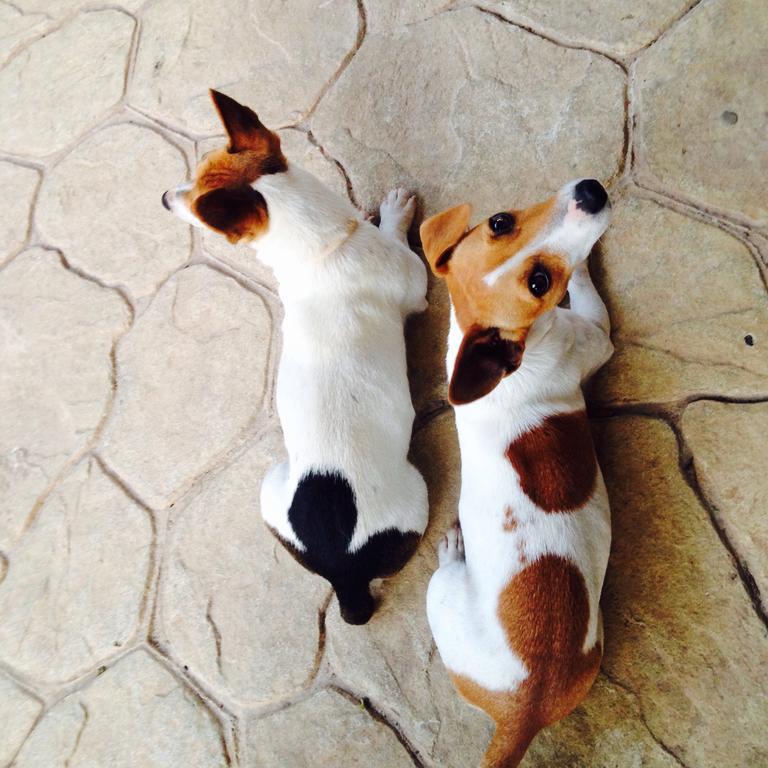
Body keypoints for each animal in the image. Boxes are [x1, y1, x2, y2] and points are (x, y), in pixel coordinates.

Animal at [424, 182, 616, 768]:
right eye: (539, 284)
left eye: (500, 220)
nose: (591, 191)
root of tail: (520, 713)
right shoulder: (598, 335)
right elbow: (589, 293)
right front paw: (585, 264)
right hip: (439, 591)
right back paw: (453, 550)